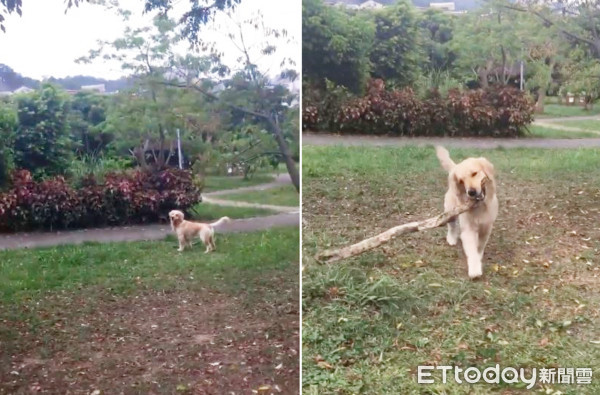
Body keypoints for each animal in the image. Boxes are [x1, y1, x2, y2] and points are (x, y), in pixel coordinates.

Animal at [436, 147, 496, 280]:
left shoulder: (486, 227)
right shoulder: (468, 229)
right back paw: (451, 239)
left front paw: (479, 257)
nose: (471, 192)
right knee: (452, 226)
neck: (479, 207)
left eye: (474, 173)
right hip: (451, 211)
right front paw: (474, 270)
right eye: (461, 181)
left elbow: (479, 246)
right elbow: (472, 249)